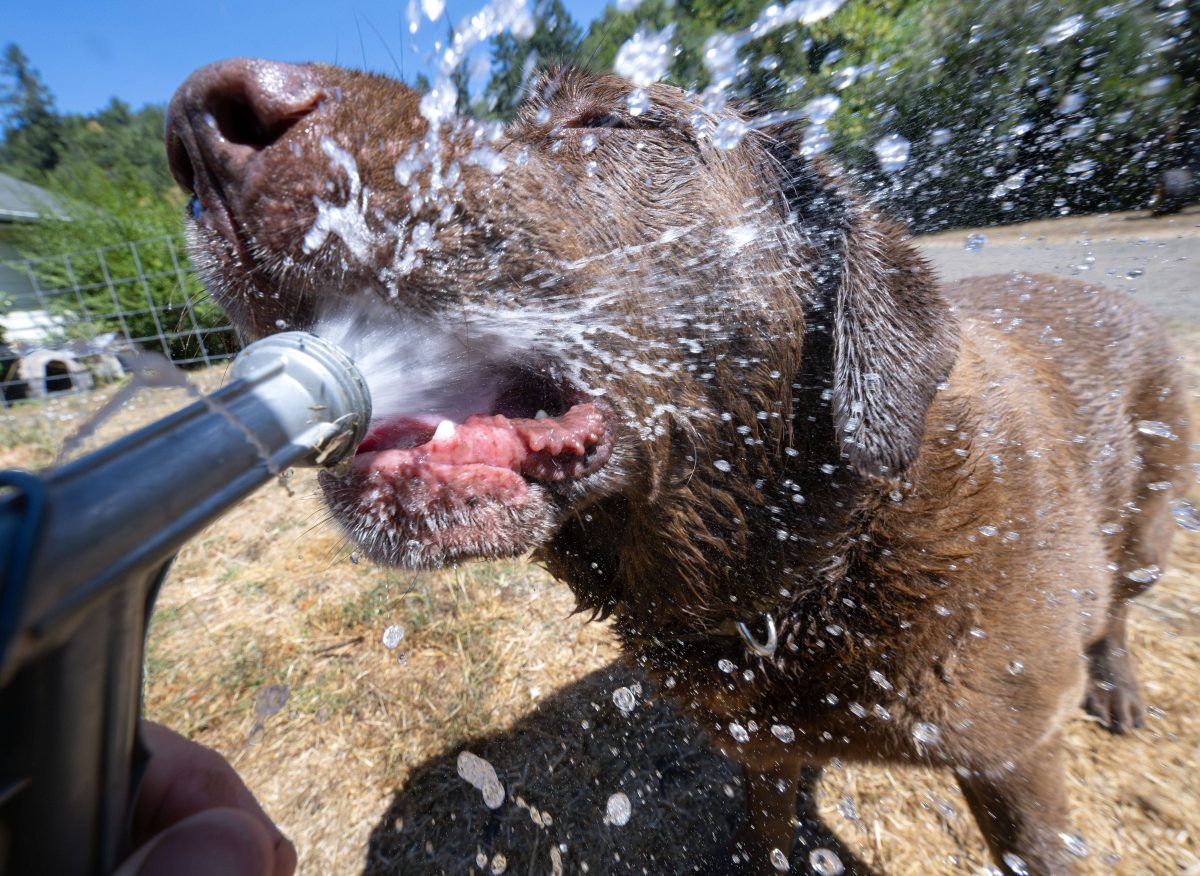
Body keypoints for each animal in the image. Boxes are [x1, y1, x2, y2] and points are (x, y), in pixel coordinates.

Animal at [166, 63, 1190, 873]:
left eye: (615, 122)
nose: (196, 118)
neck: (813, 568)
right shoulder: (761, 740)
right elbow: (766, 819)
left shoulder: (1015, 762)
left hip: (1148, 525)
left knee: (1120, 608)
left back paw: (1119, 687)